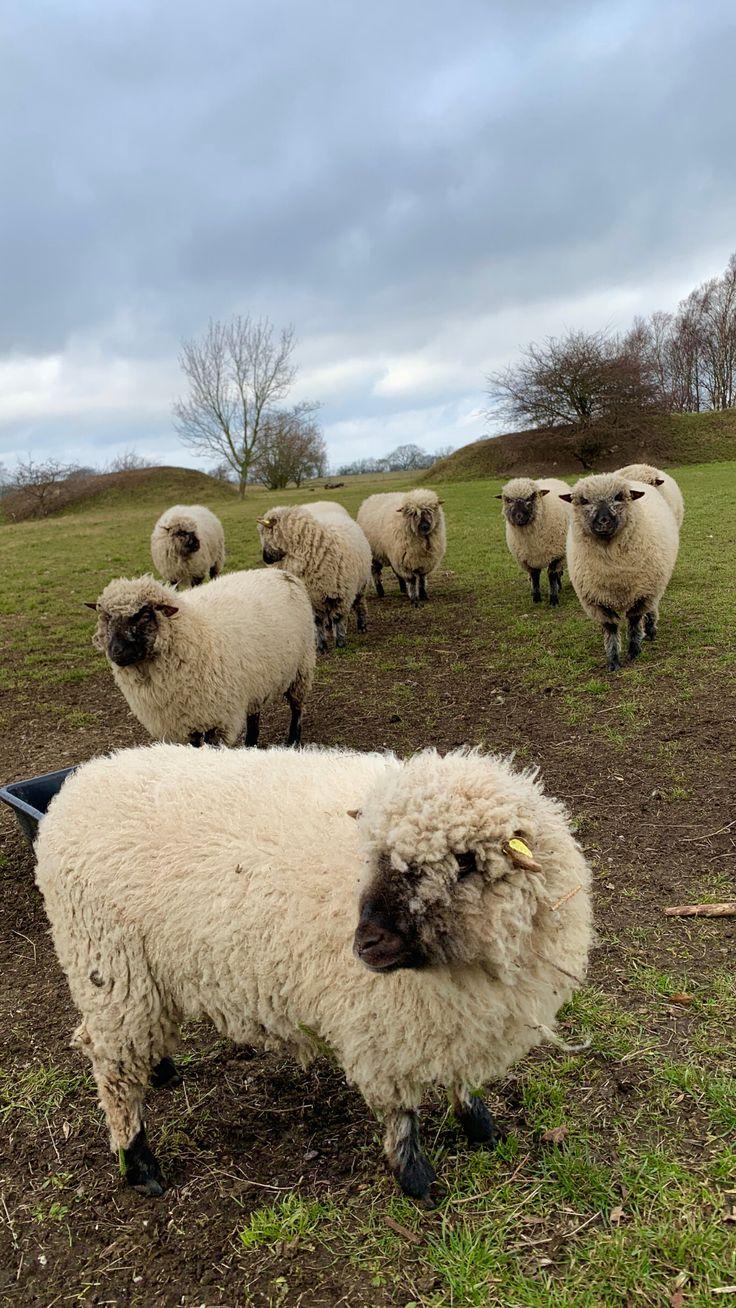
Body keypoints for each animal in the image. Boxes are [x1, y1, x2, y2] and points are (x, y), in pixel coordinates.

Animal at [35, 743, 592, 1201]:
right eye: (375, 855)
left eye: (466, 863)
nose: (363, 944)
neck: (463, 965)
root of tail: (78, 785)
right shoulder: (381, 1028)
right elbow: (401, 1114)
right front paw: (416, 1179)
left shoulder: (458, 1018)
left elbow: (462, 1082)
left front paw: (481, 1128)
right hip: (109, 967)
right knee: (111, 1067)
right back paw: (139, 1164)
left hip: (137, 981)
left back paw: (161, 1073)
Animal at [86, 570, 315, 747]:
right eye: (106, 618)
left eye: (144, 615)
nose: (116, 652)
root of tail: (282, 572)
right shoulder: (184, 724)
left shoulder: (218, 719)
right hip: (257, 681)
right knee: (254, 714)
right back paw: (251, 745)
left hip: (302, 667)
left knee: (297, 708)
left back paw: (293, 740)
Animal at [257, 503, 372, 652]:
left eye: (266, 535)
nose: (266, 559)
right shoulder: (312, 597)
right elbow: (317, 621)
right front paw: (321, 645)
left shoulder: (341, 594)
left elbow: (338, 618)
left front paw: (340, 642)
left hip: (361, 584)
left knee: (359, 603)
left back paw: (362, 625)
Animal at [496, 477, 572, 606]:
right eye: (509, 500)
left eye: (530, 497)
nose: (519, 517)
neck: (532, 539)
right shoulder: (526, 558)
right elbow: (534, 575)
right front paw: (536, 598)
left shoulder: (557, 554)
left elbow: (551, 574)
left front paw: (553, 599)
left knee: (558, 573)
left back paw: (559, 587)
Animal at [561, 473, 679, 672]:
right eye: (584, 500)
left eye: (619, 497)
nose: (603, 521)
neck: (613, 568)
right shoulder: (596, 601)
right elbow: (610, 629)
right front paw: (613, 661)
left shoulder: (642, 594)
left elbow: (634, 622)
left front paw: (634, 651)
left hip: (654, 584)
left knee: (651, 608)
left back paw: (650, 630)